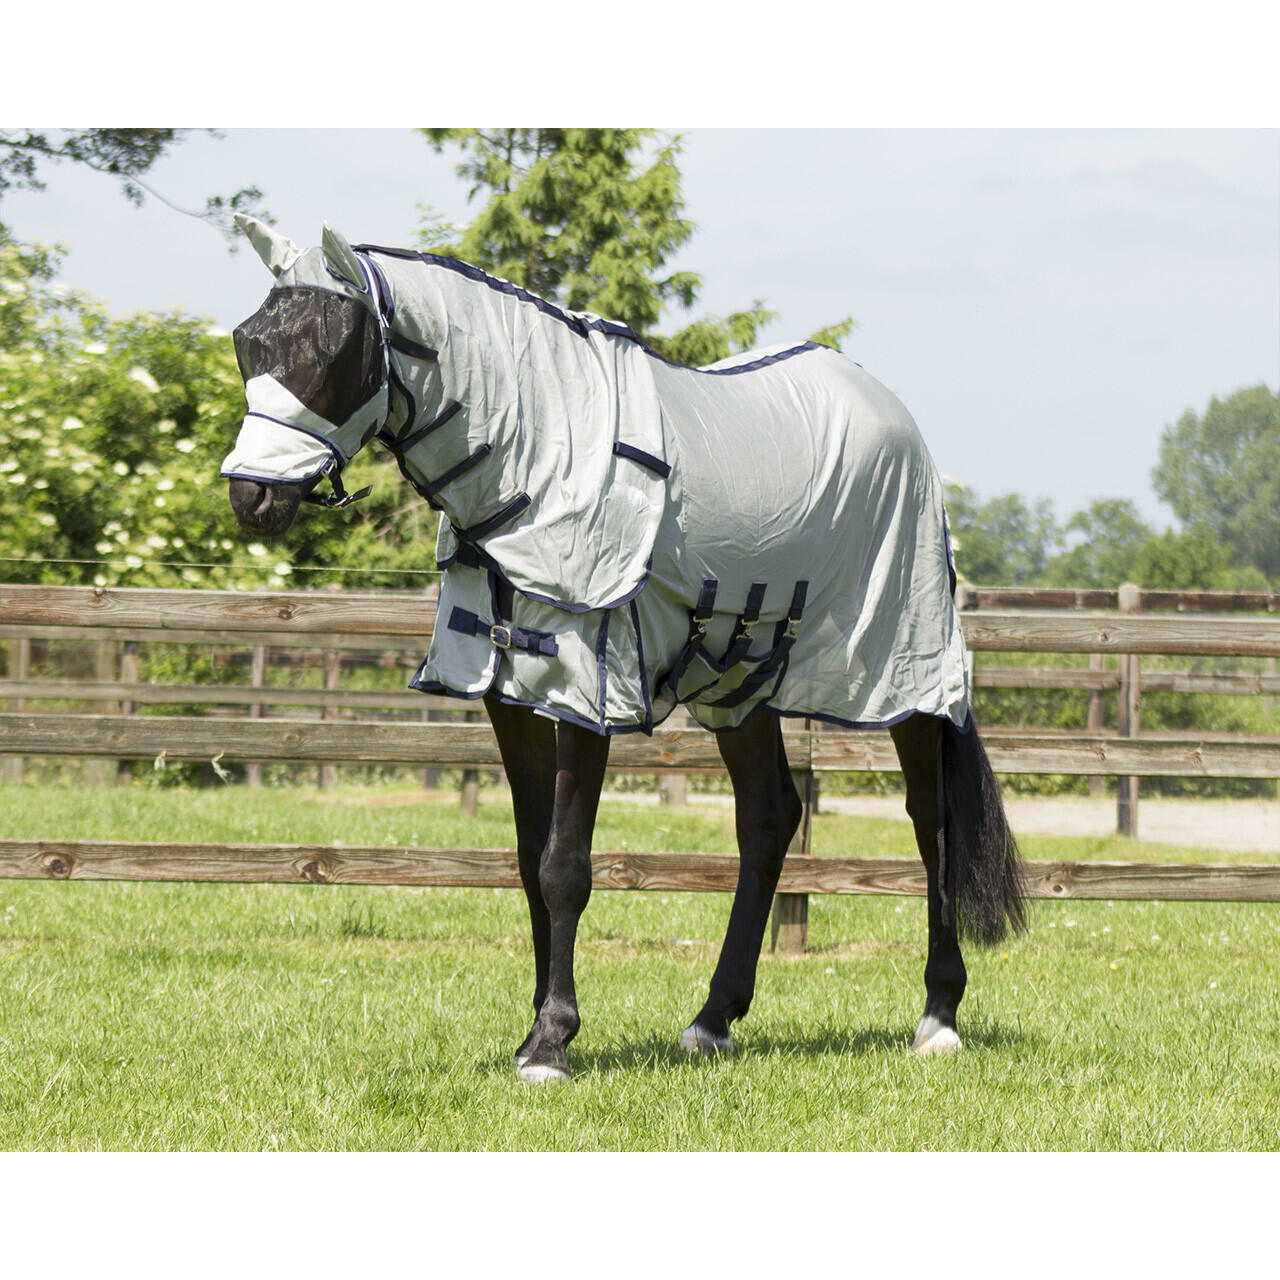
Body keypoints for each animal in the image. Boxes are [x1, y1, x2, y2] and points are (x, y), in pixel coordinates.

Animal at [221, 215, 1025, 1084]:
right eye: (248, 343)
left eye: (336, 349)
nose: (250, 497)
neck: (539, 459)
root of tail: (892, 413)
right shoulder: (512, 693)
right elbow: (529, 860)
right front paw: (534, 1030)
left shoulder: (588, 690)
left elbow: (565, 867)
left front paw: (551, 1043)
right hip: (740, 679)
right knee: (769, 816)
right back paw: (713, 1020)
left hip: (908, 674)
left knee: (931, 819)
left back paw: (938, 1016)